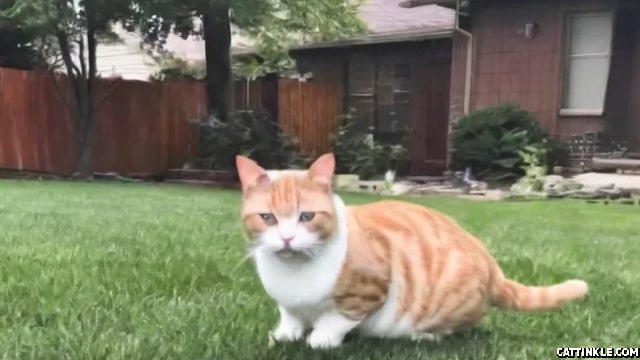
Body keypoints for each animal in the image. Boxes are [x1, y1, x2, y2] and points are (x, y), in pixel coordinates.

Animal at [236, 153, 592, 348]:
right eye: (267, 218)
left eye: (306, 217)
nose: (286, 239)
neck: (294, 272)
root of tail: (491, 264)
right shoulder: (287, 303)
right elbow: (290, 317)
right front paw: (285, 334)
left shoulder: (369, 292)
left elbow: (336, 320)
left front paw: (320, 339)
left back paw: (424, 336)